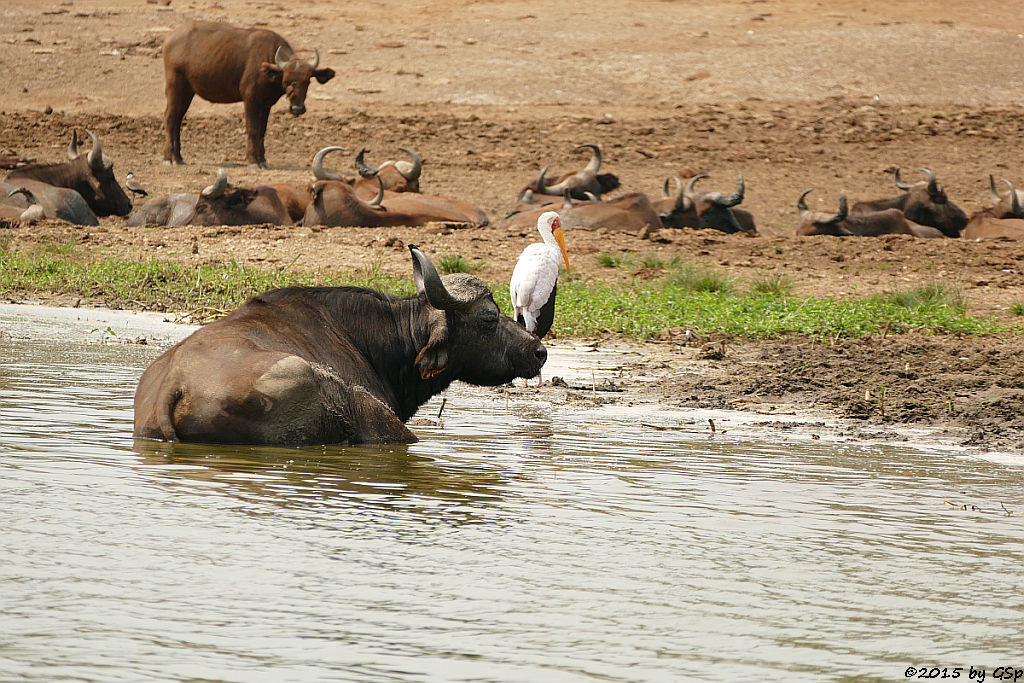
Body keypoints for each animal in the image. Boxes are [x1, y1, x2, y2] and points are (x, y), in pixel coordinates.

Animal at [161, 20, 333, 169]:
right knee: (170, 118)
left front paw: (262, 160)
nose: (297, 108)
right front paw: (252, 161)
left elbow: (262, 130)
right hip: (175, 87)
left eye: (307, 81)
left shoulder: (266, 104)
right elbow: (252, 128)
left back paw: (178, 157)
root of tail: (170, 38)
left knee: (177, 120)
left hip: (187, 92)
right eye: (286, 80)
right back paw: (170, 158)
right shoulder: (251, 100)